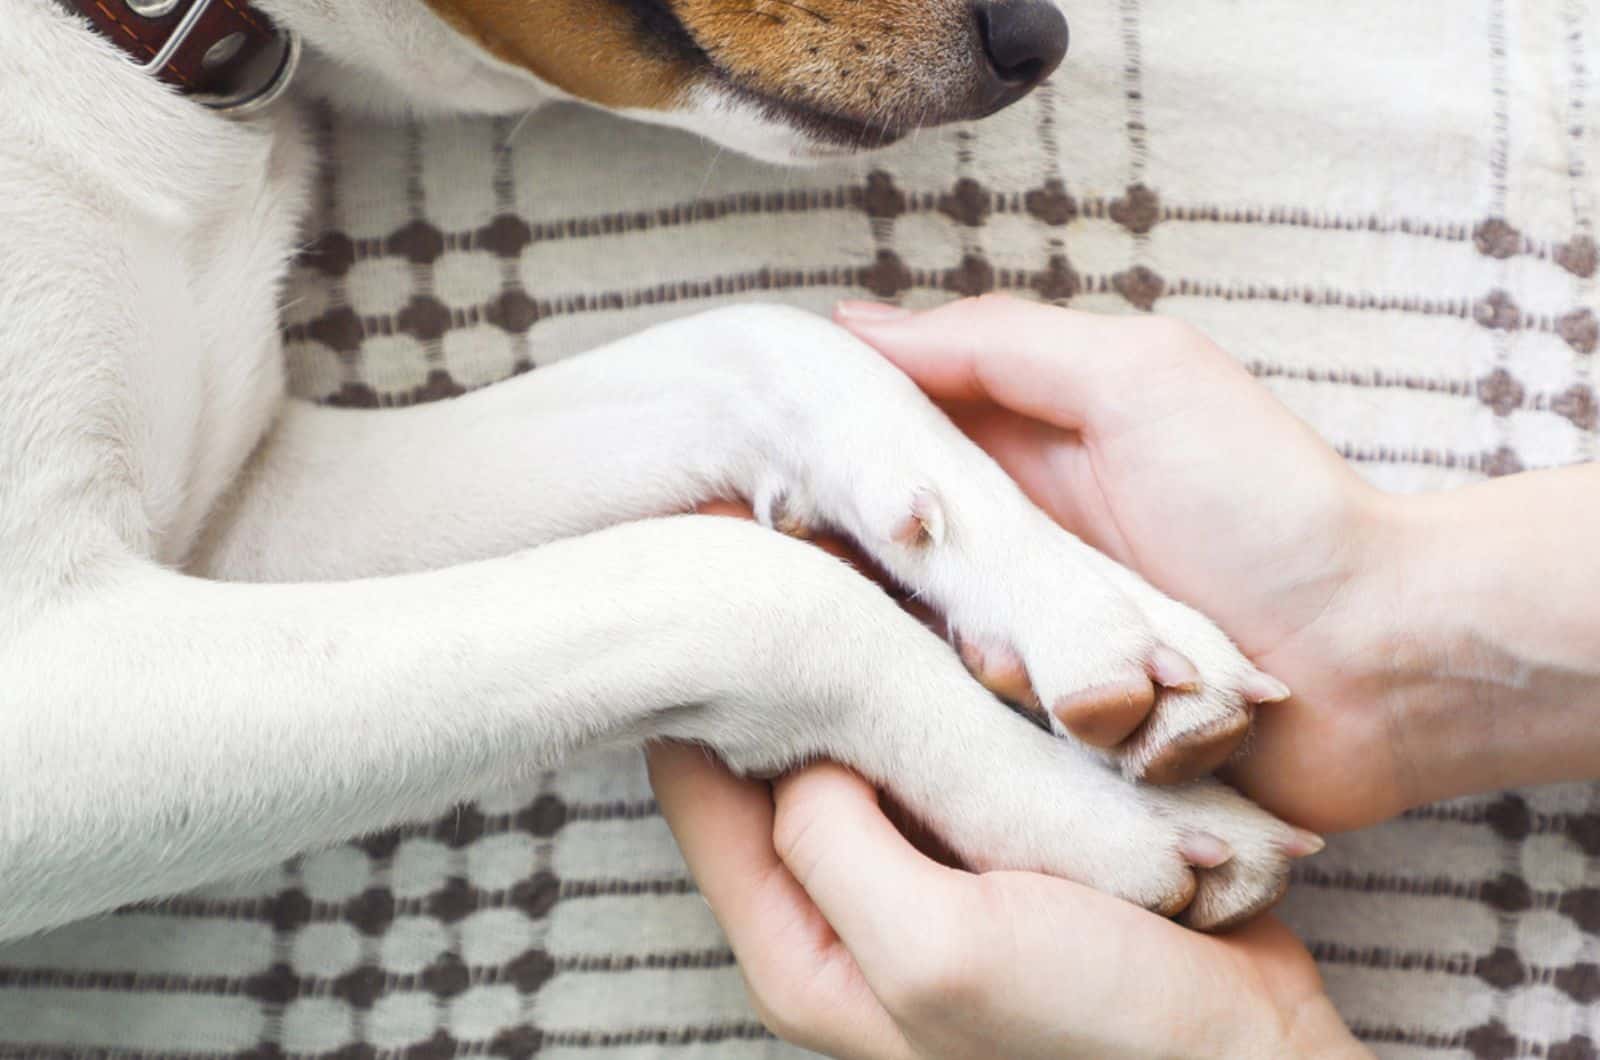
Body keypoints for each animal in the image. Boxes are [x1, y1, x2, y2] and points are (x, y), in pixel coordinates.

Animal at [0, 0, 1312, 947]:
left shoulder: (243, 505)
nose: (1037, 39)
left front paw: (1095, 612)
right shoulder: (58, 686)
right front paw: (1097, 811)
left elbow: (766, 339)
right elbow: (743, 584)